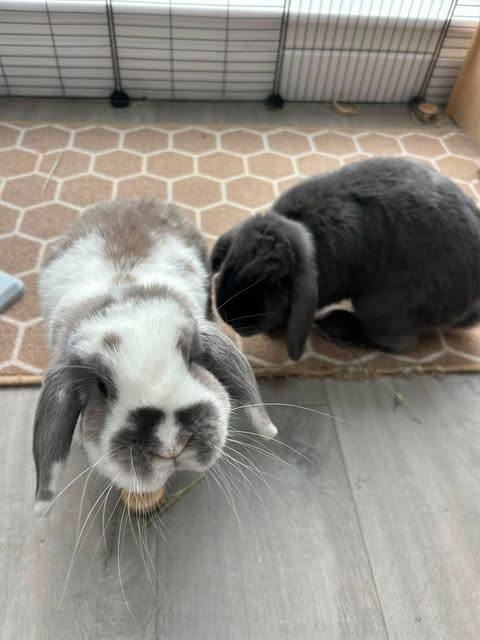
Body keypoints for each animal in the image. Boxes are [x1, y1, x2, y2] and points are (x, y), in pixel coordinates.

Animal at [212, 157, 480, 360]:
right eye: (230, 261)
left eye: (276, 283)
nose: (227, 316)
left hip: (380, 305)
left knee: (395, 342)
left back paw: (336, 327)